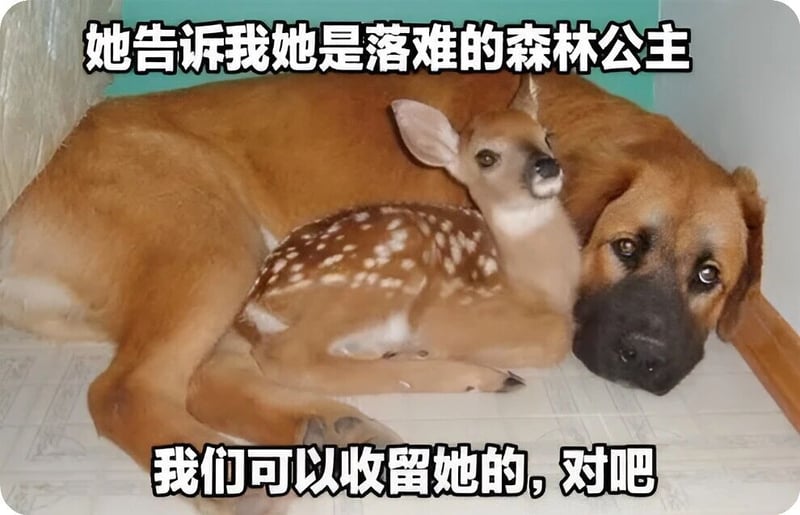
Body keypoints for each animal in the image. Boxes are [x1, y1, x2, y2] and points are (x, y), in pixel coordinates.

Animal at [235, 74, 582, 396]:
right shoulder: (452, 311)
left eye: (547, 136)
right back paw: (487, 377)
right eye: (486, 157)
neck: (535, 286)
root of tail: (257, 300)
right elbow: (560, 335)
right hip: (377, 277)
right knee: (288, 356)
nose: (547, 166)